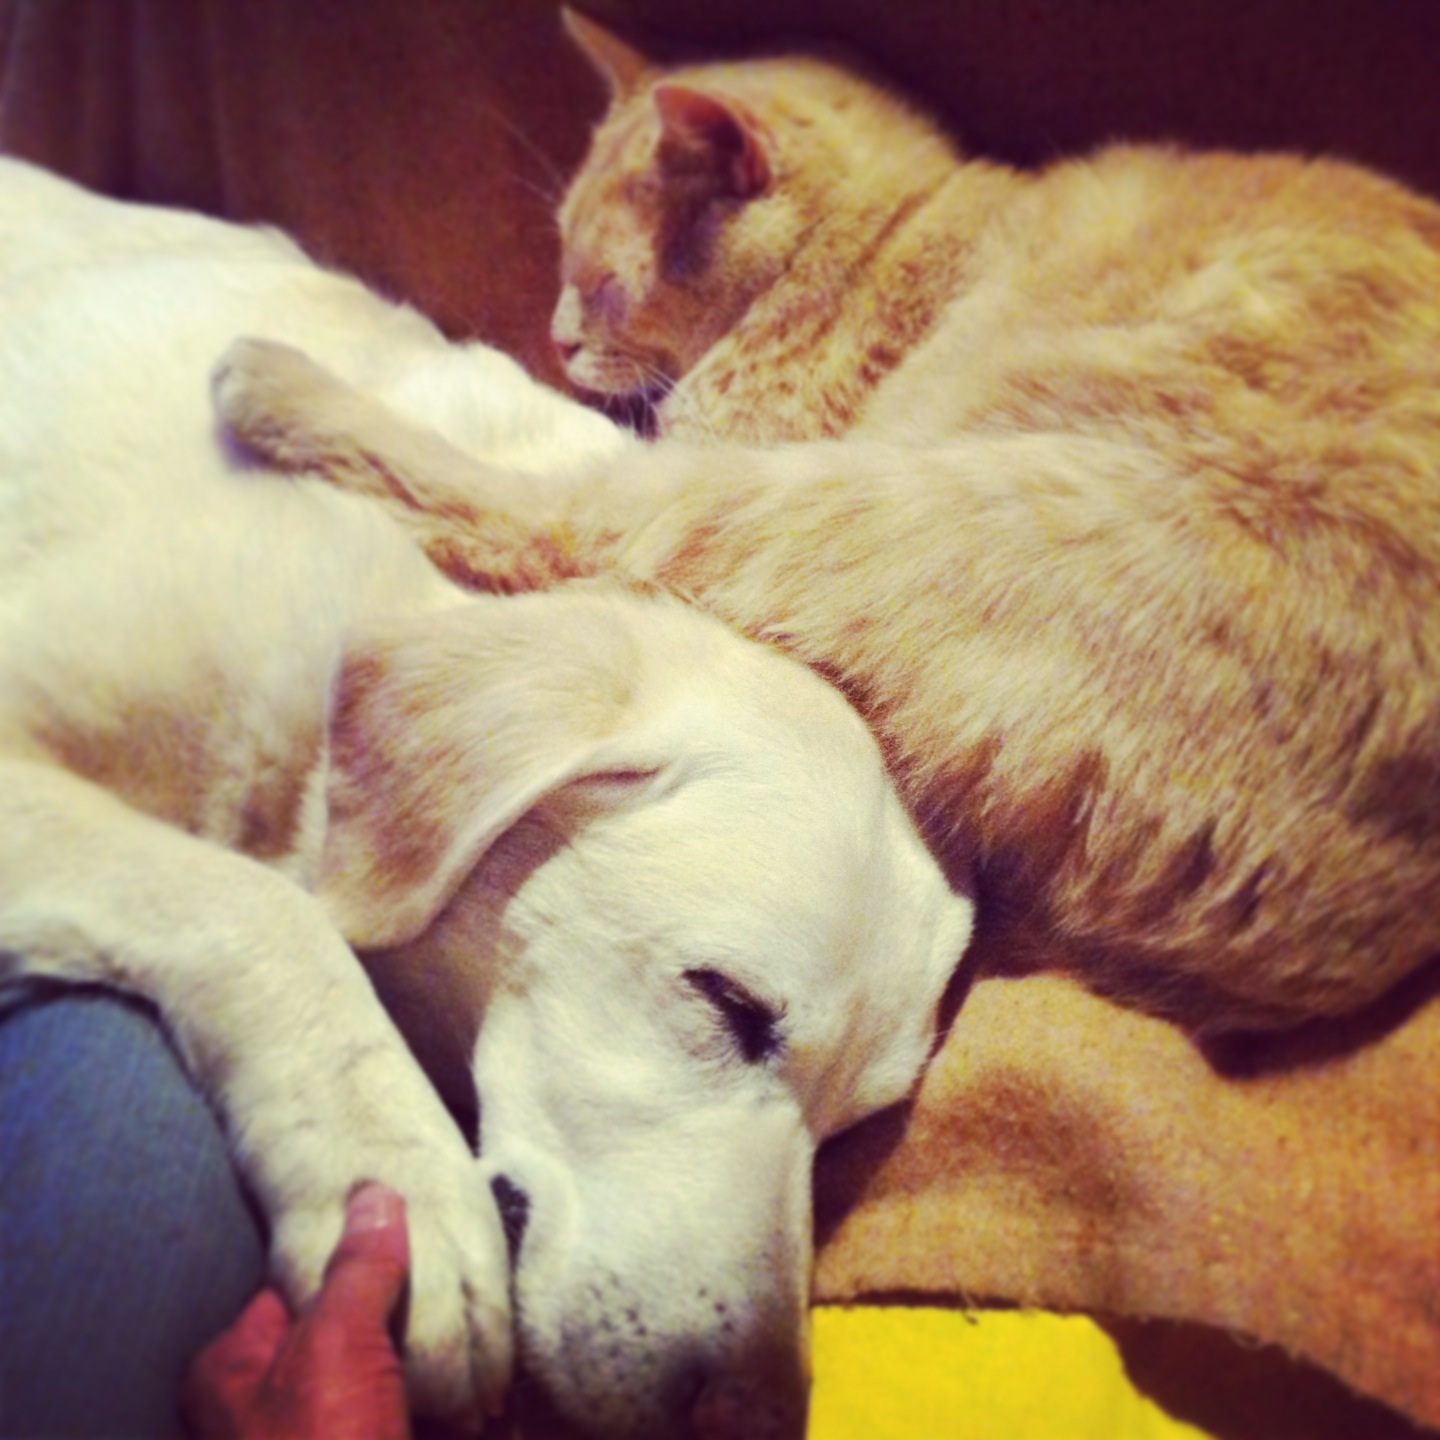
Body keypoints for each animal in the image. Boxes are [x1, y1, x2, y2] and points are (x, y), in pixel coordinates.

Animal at [214, 13, 1440, 1039]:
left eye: (601, 281)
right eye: (562, 265)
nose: (556, 337)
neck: (890, 241)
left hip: (870, 501)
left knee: (541, 517)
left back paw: (274, 383)